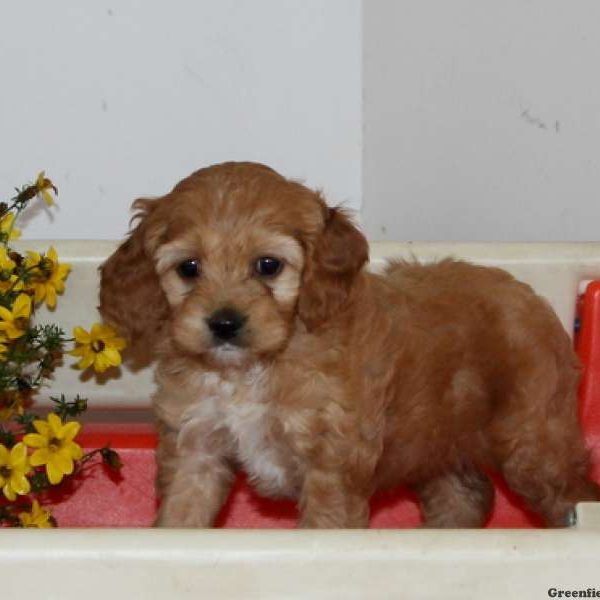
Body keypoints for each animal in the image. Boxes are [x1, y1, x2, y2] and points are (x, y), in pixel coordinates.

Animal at [101, 162, 596, 528]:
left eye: (267, 266)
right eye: (188, 269)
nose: (224, 323)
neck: (250, 370)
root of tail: (530, 295)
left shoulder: (332, 465)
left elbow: (326, 524)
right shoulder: (196, 448)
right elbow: (182, 516)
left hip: (532, 441)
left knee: (572, 489)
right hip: (437, 441)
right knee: (466, 492)